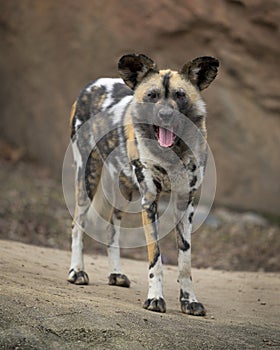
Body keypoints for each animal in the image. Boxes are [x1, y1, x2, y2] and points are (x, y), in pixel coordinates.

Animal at [68, 53, 219, 316]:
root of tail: (92, 84)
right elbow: (155, 257)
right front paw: (155, 298)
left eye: (180, 95)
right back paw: (77, 271)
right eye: (152, 96)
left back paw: (116, 273)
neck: (172, 153)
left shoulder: (185, 205)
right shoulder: (150, 202)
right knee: (78, 225)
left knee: (111, 229)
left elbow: (185, 262)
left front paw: (189, 301)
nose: (165, 115)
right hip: (87, 179)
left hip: (124, 193)